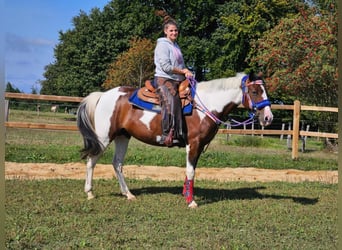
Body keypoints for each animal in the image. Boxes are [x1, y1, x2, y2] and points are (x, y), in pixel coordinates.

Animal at [77, 72, 272, 207]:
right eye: (254, 91)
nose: (268, 118)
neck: (206, 105)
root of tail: (103, 95)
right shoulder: (193, 144)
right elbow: (191, 171)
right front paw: (191, 202)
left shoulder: (197, 146)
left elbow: (190, 171)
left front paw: (186, 194)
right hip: (104, 137)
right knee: (91, 161)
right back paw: (89, 192)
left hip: (122, 136)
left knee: (117, 163)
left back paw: (128, 194)